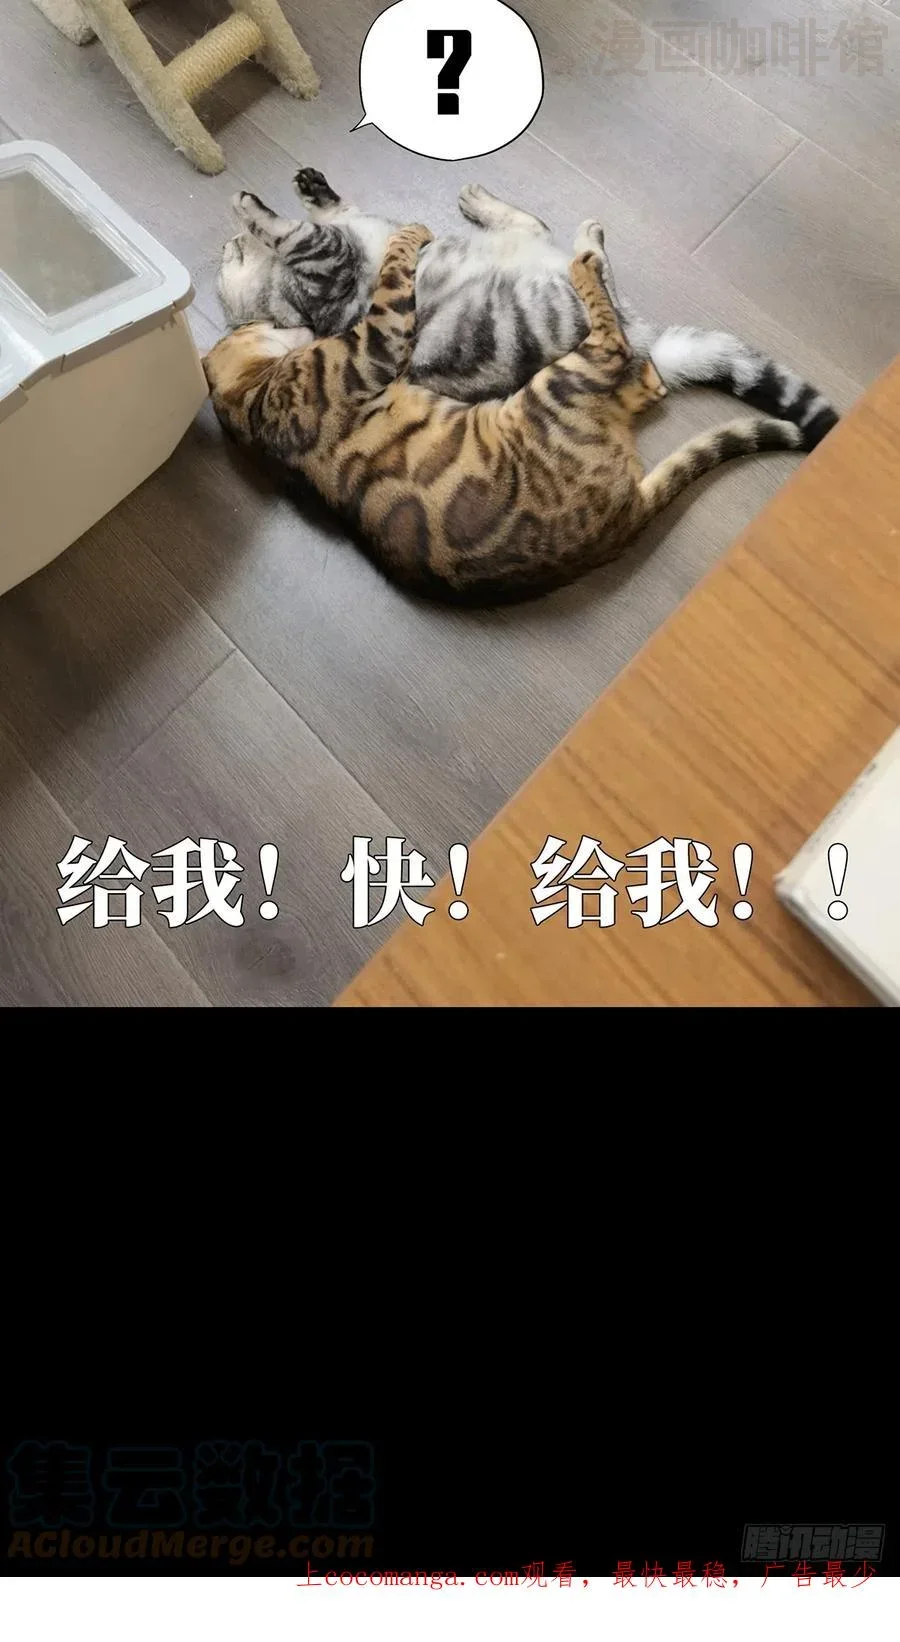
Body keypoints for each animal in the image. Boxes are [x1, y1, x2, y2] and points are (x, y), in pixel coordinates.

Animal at [205, 219, 810, 608]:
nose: (228, 242)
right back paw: (585, 251)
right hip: (561, 374)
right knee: (608, 320)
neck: (257, 404)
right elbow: (325, 239)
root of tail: (626, 516)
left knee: (640, 362)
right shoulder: (367, 332)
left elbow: (328, 220)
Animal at [217, 167, 837, 450]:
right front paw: (250, 211)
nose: (225, 245)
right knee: (595, 270)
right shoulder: (327, 265)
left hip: (532, 256)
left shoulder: (344, 237)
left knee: (540, 228)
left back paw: (487, 204)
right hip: (564, 300)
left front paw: (301, 189)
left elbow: (321, 213)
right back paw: (586, 237)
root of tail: (650, 343)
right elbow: (295, 232)